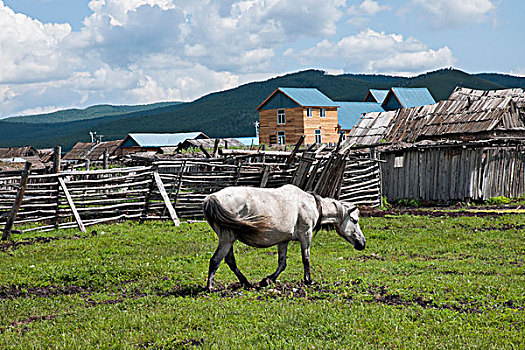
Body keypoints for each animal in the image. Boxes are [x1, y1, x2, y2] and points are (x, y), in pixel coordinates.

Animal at [201, 183, 364, 290]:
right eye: (354, 220)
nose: (362, 243)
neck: (311, 204)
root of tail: (211, 198)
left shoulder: (283, 241)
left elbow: (282, 263)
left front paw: (267, 280)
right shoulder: (306, 235)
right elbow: (306, 258)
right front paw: (308, 280)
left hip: (228, 240)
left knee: (229, 261)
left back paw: (246, 283)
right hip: (227, 240)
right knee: (215, 260)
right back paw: (210, 287)